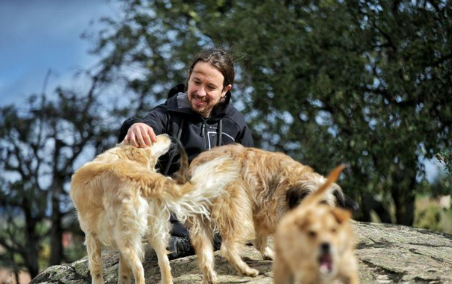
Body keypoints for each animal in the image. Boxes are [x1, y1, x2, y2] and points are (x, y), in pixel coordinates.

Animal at [69, 134, 240, 284]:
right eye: (153, 139)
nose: (168, 135)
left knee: (139, 270)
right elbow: (123, 271)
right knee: (164, 264)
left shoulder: (91, 235)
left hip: (125, 238)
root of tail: (141, 177)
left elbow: (96, 269)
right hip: (155, 232)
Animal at [186, 144, 356, 284]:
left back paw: (210, 277)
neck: (294, 181)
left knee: (205, 253)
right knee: (227, 247)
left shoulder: (261, 214)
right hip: (237, 211)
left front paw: (268, 253)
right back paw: (246, 270)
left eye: (325, 205)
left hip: (201, 220)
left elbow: (261, 239)